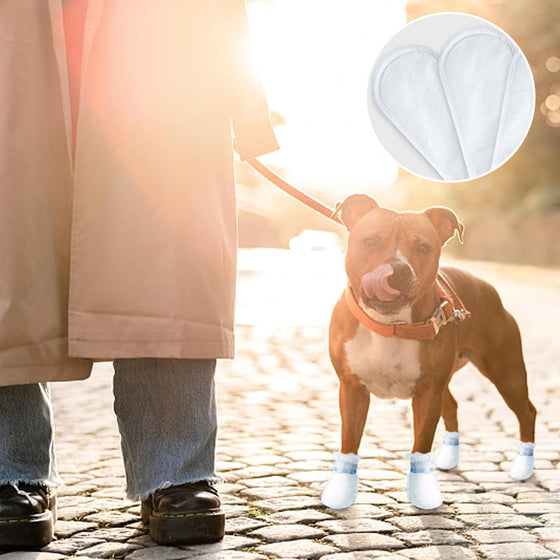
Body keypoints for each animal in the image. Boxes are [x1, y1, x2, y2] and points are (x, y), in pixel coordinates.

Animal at [322, 196, 536, 512]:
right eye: (371, 241)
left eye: (423, 248)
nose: (397, 269)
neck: (392, 325)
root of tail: (485, 285)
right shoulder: (352, 388)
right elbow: (349, 440)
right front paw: (342, 491)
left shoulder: (427, 392)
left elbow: (421, 442)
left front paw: (422, 492)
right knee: (454, 405)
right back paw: (449, 458)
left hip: (505, 373)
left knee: (527, 412)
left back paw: (523, 467)